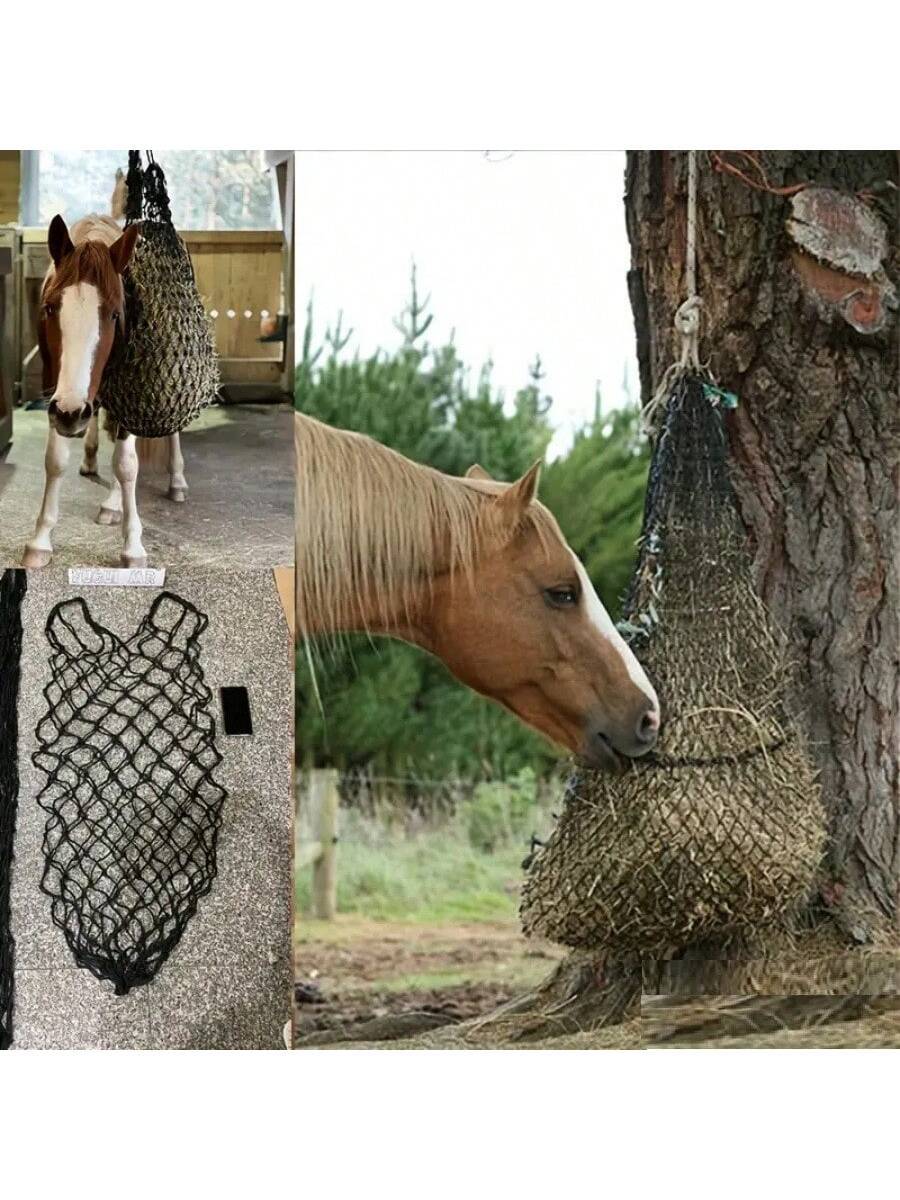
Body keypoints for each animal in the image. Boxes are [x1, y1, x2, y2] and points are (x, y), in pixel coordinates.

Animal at [22, 209, 188, 569]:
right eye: (50, 308)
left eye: (114, 314)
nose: (71, 412)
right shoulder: (55, 389)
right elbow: (55, 460)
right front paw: (41, 539)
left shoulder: (130, 394)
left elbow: (127, 465)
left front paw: (133, 545)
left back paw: (176, 482)